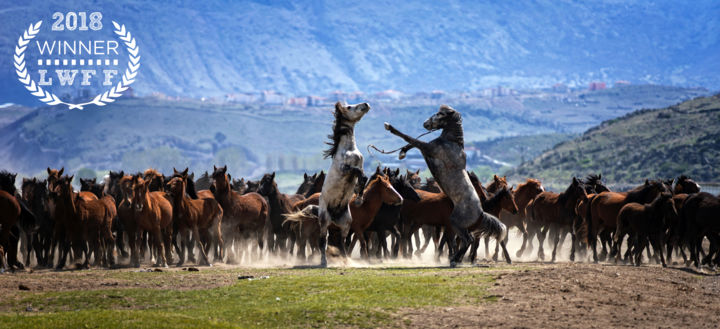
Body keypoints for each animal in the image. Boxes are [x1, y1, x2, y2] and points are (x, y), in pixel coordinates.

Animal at [318, 100, 372, 266]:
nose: (366, 104)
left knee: (342, 241)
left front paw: (359, 197)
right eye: (349, 107)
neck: (350, 149)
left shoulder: (360, 165)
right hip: (324, 220)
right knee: (323, 241)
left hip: (346, 222)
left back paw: (346, 260)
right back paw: (324, 262)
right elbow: (357, 171)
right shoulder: (344, 168)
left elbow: (363, 177)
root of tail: (334, 216)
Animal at [386, 105, 510, 266]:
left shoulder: (429, 149)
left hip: (455, 224)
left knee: (467, 240)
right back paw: (454, 259)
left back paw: (454, 260)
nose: (425, 124)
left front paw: (390, 128)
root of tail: (481, 213)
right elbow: (412, 142)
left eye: (440, 114)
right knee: (466, 241)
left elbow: (411, 139)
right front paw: (402, 152)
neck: (451, 143)